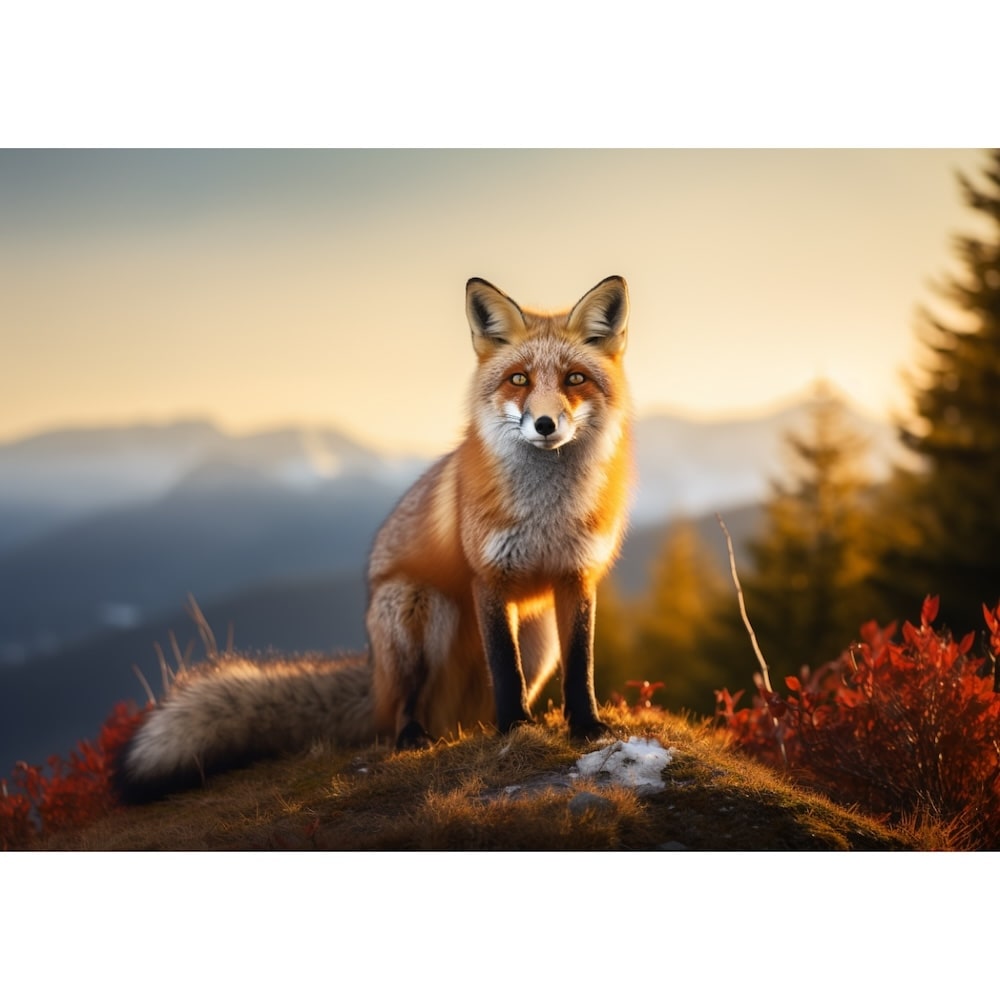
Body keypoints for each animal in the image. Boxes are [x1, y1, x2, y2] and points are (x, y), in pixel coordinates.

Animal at [113, 276, 633, 804]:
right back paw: (418, 736)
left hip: (538, 637)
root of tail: (374, 675)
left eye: (574, 379)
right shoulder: (489, 578)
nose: (545, 424)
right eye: (519, 380)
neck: (547, 511)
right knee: (406, 707)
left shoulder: (576, 577)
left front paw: (586, 727)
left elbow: (581, 666)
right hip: (414, 606)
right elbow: (506, 671)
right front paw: (514, 730)